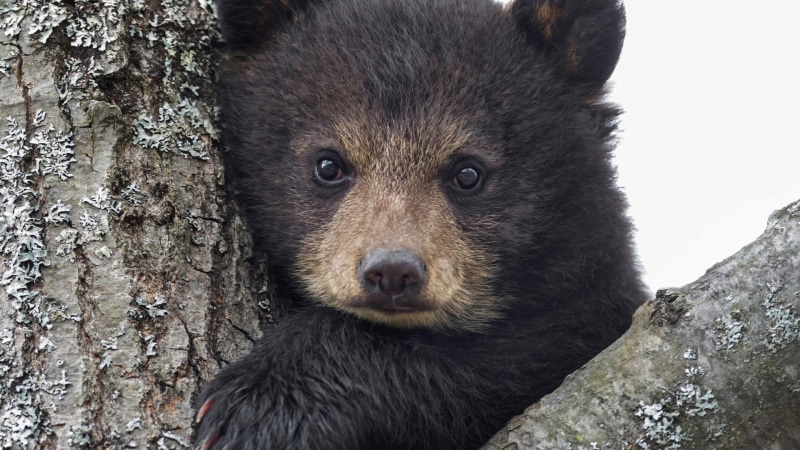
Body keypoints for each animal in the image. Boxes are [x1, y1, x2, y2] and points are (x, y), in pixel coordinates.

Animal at [194, 0, 648, 448]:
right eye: (328, 165)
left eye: (468, 172)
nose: (393, 270)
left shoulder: (588, 308)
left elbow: (509, 359)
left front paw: (259, 405)